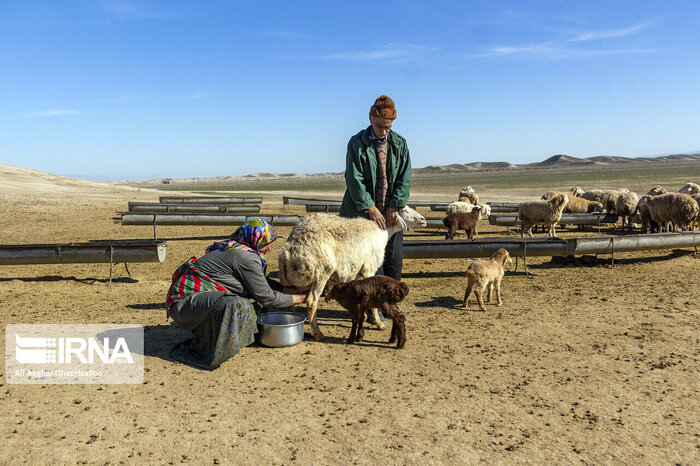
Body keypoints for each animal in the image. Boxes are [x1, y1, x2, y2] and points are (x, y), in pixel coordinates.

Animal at [278, 206, 426, 340]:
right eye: (404, 210)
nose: (423, 219)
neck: (382, 232)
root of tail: (289, 249)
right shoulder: (369, 269)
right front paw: (378, 322)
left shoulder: (359, 273)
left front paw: (364, 316)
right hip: (321, 272)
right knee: (311, 302)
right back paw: (318, 333)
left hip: (293, 281)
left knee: (290, 301)